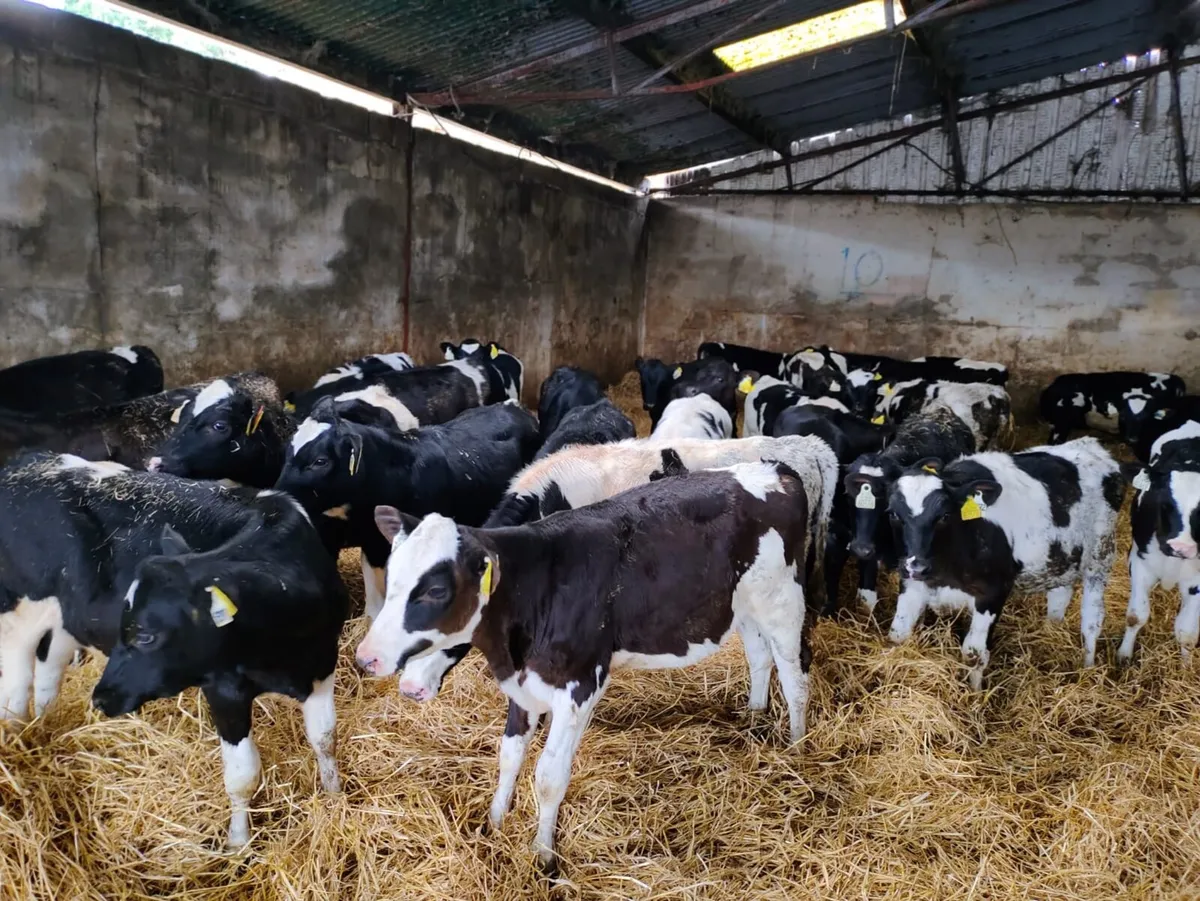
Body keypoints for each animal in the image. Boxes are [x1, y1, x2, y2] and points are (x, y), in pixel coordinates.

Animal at [0, 454, 347, 846]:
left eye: (147, 635)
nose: (101, 699)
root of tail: (28, 462)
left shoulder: (322, 666)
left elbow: (325, 738)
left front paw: (334, 797)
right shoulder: (223, 689)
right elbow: (242, 775)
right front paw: (238, 842)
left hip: (63, 619)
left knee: (49, 667)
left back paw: (44, 725)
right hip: (19, 615)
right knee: (15, 687)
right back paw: (19, 742)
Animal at [355, 460, 821, 872]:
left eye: (436, 590)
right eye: (392, 576)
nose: (366, 658)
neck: (537, 587)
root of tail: (775, 469)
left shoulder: (578, 686)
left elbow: (549, 776)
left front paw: (544, 856)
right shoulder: (524, 685)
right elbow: (509, 756)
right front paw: (496, 822)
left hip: (783, 599)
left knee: (794, 675)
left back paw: (796, 750)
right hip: (741, 603)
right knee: (759, 655)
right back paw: (754, 715)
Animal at [887, 437, 1123, 688]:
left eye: (944, 516)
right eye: (893, 514)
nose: (917, 566)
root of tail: (1090, 445)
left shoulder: (992, 592)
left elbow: (974, 654)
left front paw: (974, 694)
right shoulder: (911, 584)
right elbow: (897, 634)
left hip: (1101, 556)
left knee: (1092, 618)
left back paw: (1088, 666)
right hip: (1063, 557)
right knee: (1059, 598)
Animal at [1119, 421, 1200, 663]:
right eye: (1164, 501)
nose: (1181, 547)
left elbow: (1186, 633)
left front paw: (1185, 665)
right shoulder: (1139, 562)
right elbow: (1135, 616)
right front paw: (1123, 656)